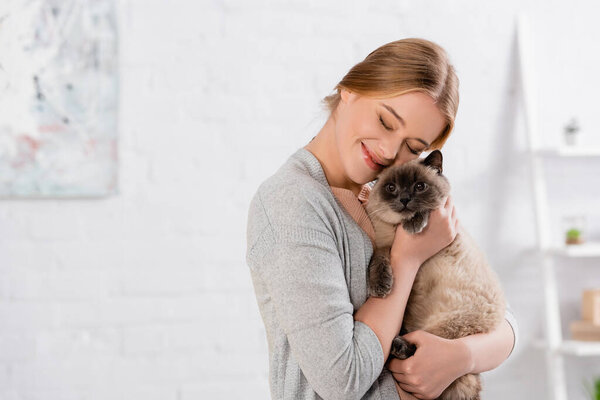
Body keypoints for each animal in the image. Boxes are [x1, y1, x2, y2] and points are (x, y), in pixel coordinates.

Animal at [364, 150, 504, 400]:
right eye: (391, 188)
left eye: (419, 186)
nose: (405, 199)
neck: (395, 230)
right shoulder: (384, 247)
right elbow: (377, 261)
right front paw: (380, 287)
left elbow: (426, 210)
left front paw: (414, 224)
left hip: (448, 324)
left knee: (426, 344)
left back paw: (398, 347)